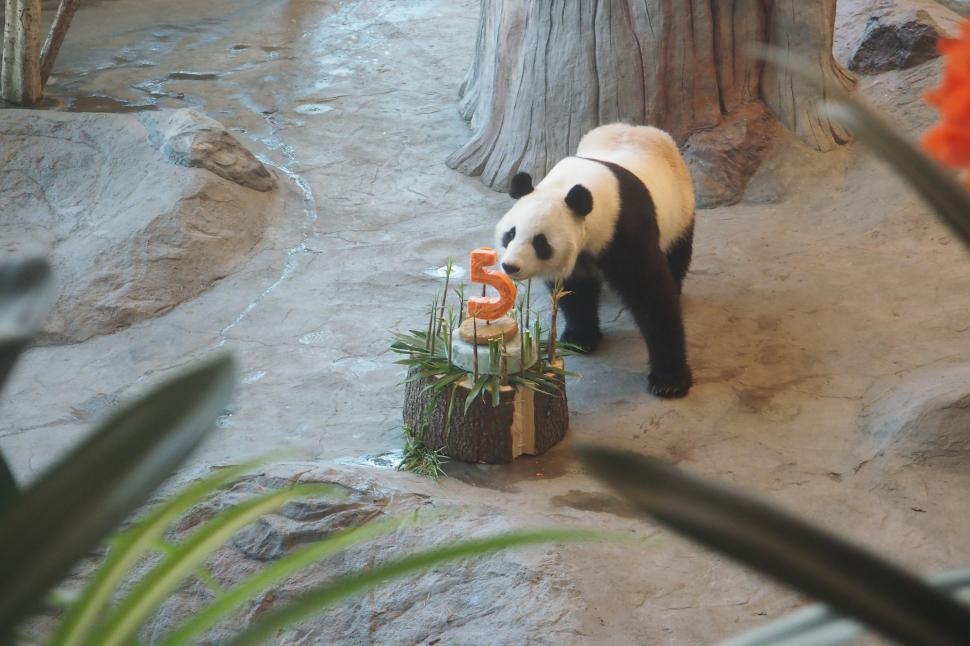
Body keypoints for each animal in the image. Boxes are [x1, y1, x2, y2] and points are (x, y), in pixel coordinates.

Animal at [495, 123, 695, 398]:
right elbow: (575, 291)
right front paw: (579, 338)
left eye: (540, 242)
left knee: (676, 256)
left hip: (679, 208)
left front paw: (669, 381)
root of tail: (641, 128)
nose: (511, 266)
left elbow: (652, 294)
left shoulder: (625, 228)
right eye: (511, 233)